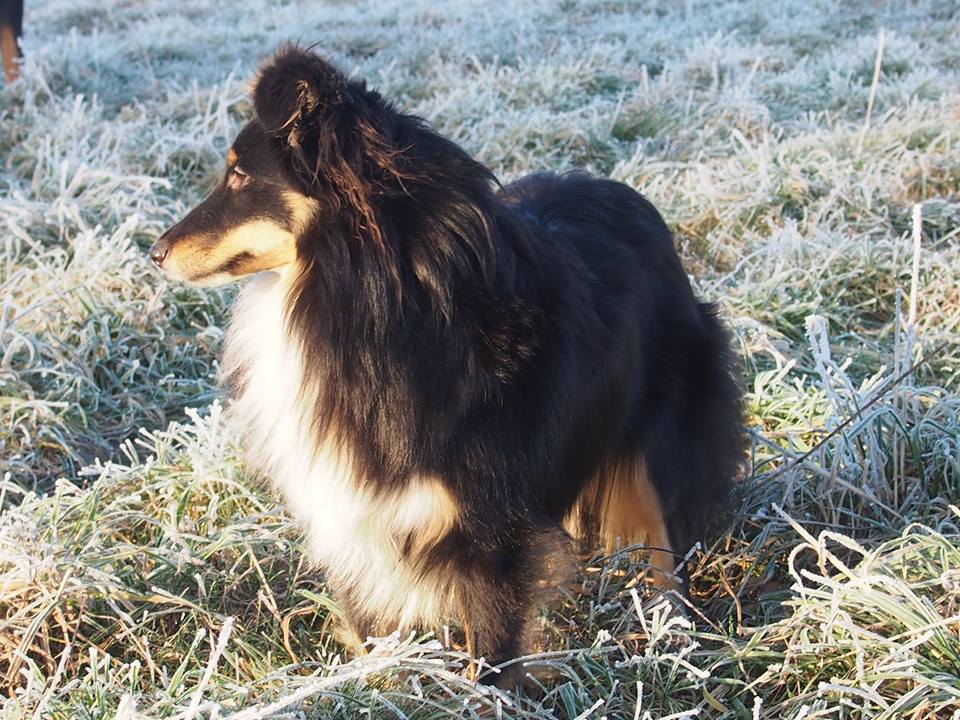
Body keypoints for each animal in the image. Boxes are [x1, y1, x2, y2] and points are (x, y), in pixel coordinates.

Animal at [152, 47, 744, 684]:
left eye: (239, 174)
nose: (155, 252)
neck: (368, 307)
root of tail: (625, 192)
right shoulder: (357, 517)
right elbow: (373, 634)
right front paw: (376, 686)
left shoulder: (491, 529)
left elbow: (490, 655)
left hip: (663, 423)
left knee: (663, 540)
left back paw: (674, 635)